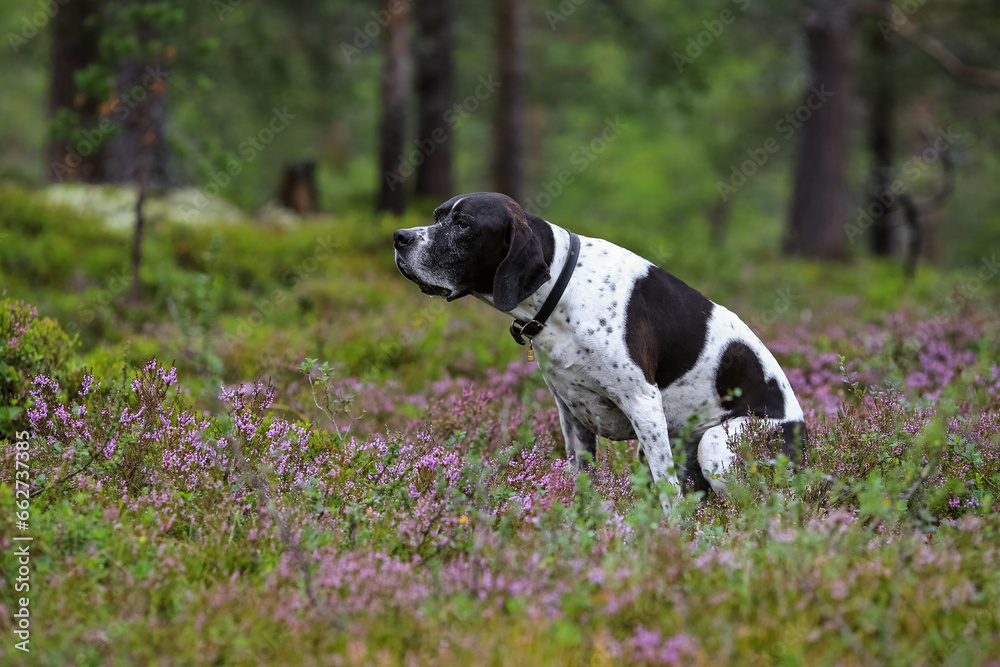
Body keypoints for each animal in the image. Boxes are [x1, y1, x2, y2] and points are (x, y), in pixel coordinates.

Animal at [394, 193, 808, 512]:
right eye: (437, 216)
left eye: (463, 224)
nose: (399, 237)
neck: (562, 289)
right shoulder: (571, 410)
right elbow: (582, 478)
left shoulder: (643, 404)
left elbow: (668, 491)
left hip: (714, 443)